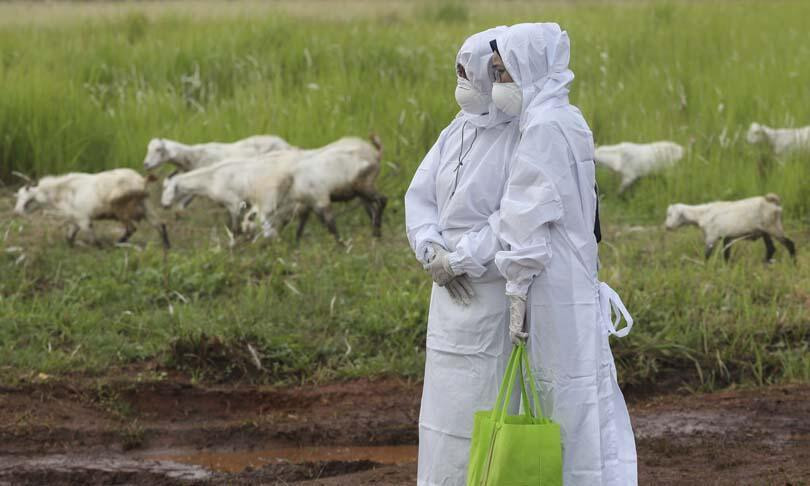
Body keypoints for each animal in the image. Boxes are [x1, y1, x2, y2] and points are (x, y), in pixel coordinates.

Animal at [13, 169, 169, 249]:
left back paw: (118, 243)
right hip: (146, 206)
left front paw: (100, 249)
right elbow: (69, 237)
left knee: (132, 228)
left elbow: (94, 240)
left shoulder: (83, 219)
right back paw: (166, 246)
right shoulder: (75, 219)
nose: (16, 212)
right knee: (160, 224)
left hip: (121, 209)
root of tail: (142, 180)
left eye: (26, 197)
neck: (63, 191)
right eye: (17, 196)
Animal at [664, 194, 796, 262]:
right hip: (765, 231)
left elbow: (707, 255)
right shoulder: (727, 238)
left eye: (670, 214)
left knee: (790, 244)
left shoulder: (711, 237)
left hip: (773, 228)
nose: (667, 227)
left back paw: (793, 263)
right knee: (771, 249)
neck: (702, 214)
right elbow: (726, 255)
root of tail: (772, 202)